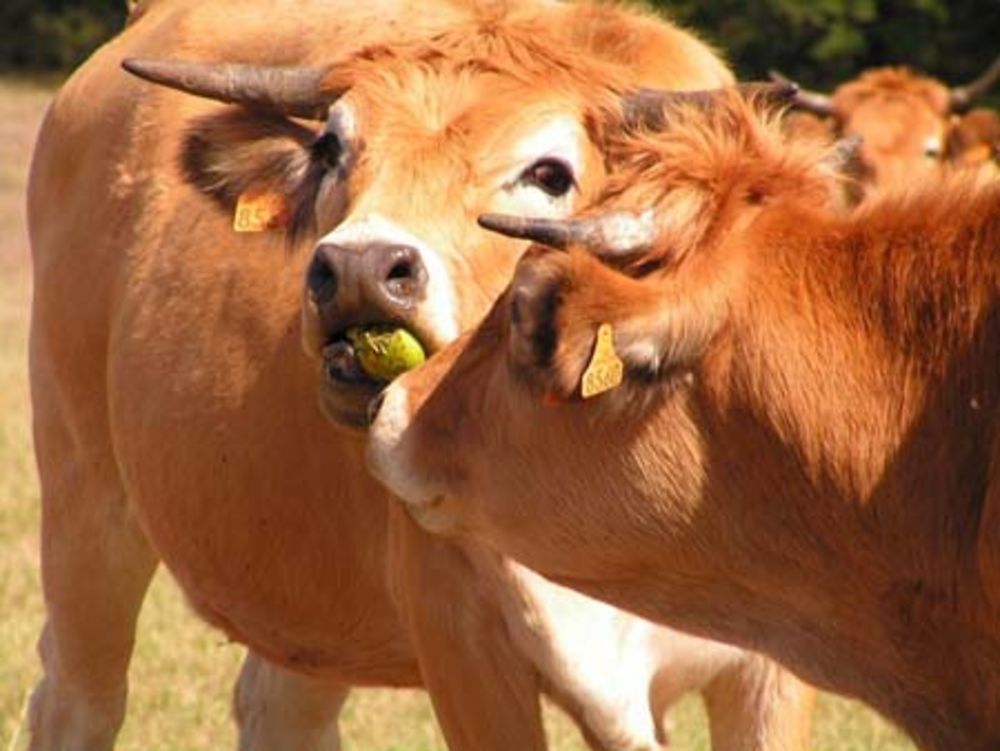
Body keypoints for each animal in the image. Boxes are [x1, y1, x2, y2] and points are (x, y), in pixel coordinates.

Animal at [27, 1, 815, 750]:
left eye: (549, 173)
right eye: (331, 146)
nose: (359, 267)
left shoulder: (769, 672)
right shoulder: (462, 646)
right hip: (84, 499)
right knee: (79, 700)